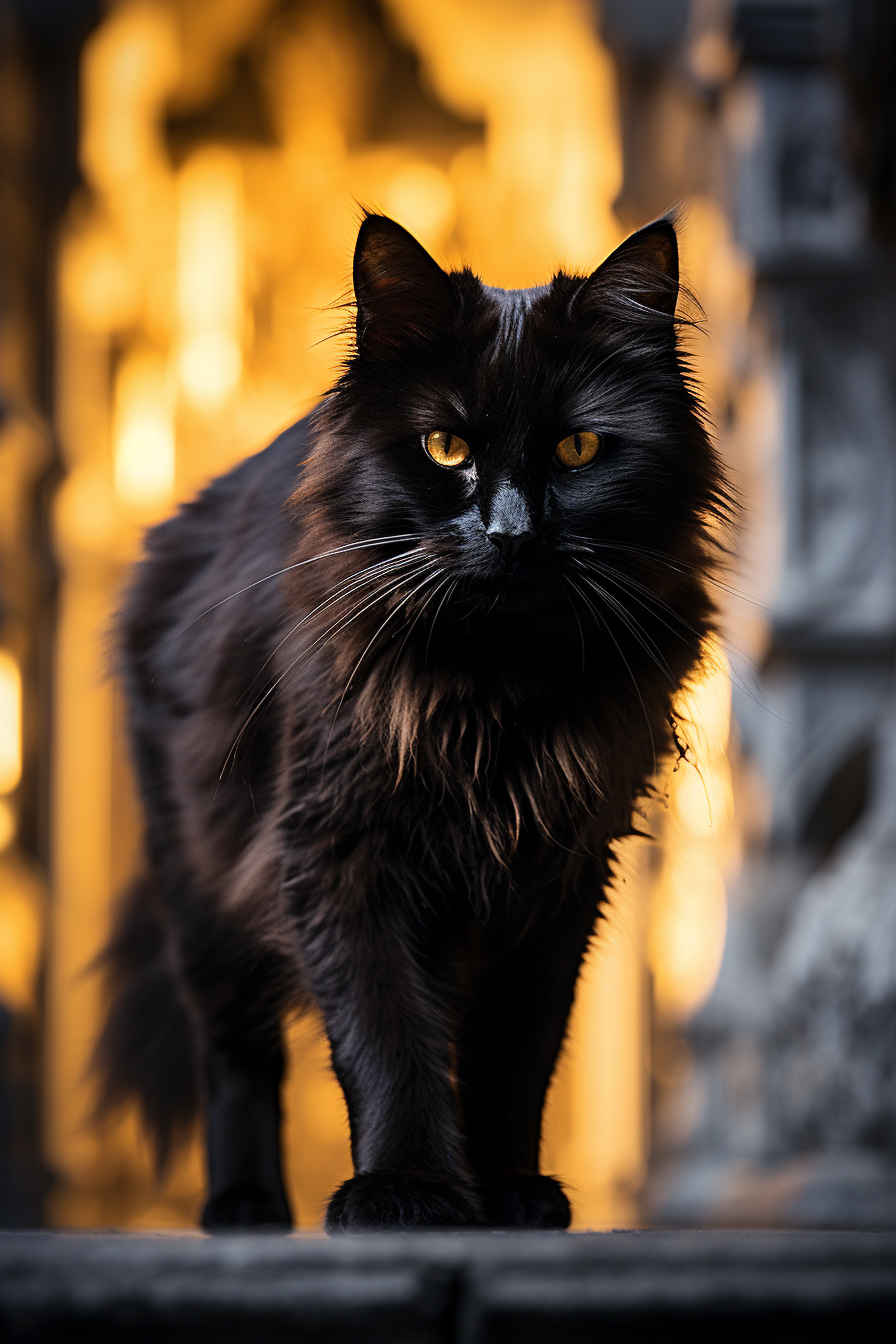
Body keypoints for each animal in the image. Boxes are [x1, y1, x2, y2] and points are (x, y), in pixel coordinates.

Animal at [96, 209, 730, 1231]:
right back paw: (244, 1203)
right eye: (443, 448)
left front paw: (508, 1189)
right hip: (198, 880)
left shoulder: (557, 872)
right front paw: (407, 1190)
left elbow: (516, 1053)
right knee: (235, 1052)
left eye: (578, 451)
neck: (497, 693)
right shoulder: (337, 849)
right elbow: (387, 1034)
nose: (509, 532)